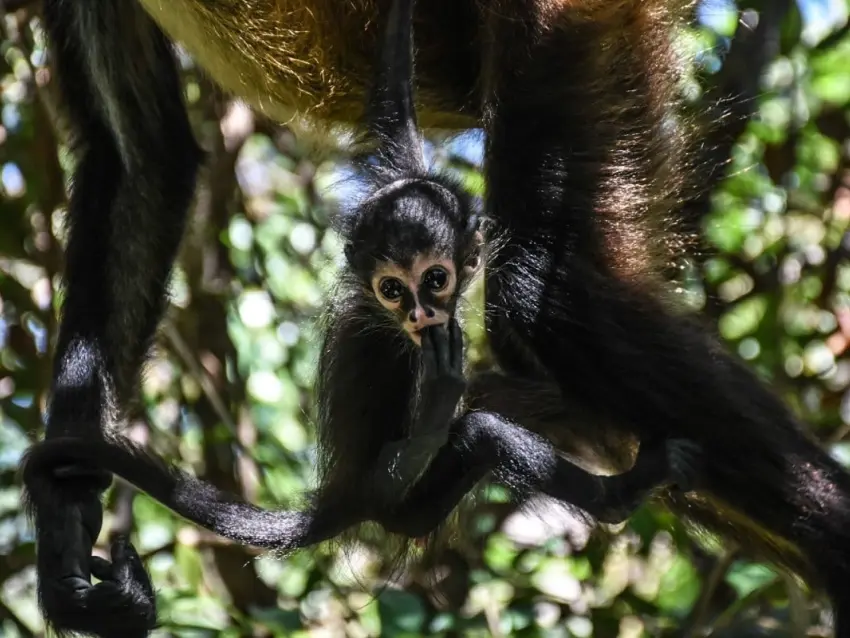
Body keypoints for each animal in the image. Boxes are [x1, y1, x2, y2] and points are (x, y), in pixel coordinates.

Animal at [15, 0, 850, 634]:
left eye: (435, 280)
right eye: (395, 289)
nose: (420, 310)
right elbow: (140, 156)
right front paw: (65, 535)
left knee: (548, 305)